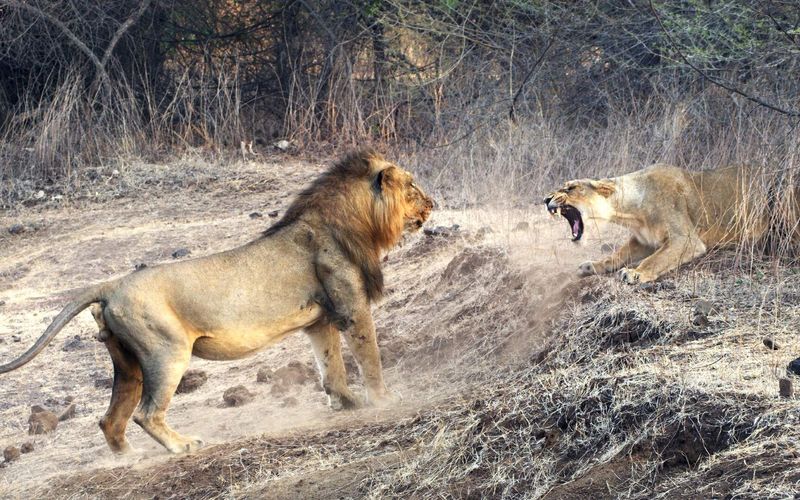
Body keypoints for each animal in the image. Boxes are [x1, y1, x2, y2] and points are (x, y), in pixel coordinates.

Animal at [0, 148, 432, 454]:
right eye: (412, 187)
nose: (433, 204)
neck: (357, 225)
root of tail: (112, 284)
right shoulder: (352, 310)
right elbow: (369, 358)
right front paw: (384, 399)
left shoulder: (320, 321)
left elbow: (331, 368)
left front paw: (347, 403)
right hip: (166, 352)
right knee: (146, 414)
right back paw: (182, 445)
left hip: (128, 364)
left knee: (110, 420)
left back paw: (127, 456)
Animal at [544, 163, 792, 282]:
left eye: (570, 188)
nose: (545, 199)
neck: (630, 213)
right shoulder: (642, 240)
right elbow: (616, 255)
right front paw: (591, 266)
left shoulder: (686, 239)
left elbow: (655, 260)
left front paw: (634, 274)